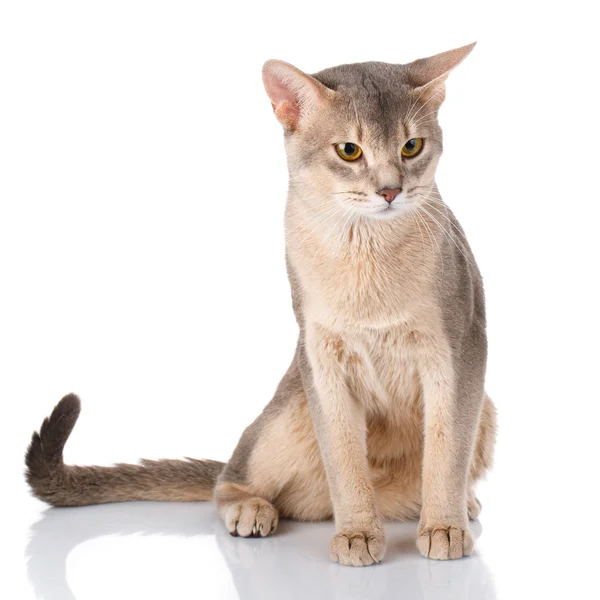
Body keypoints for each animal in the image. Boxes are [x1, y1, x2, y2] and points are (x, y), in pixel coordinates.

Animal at [25, 43, 496, 568]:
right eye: (349, 151)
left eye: (411, 147)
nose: (390, 190)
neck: (366, 253)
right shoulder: (321, 357)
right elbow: (344, 460)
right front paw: (356, 533)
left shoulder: (459, 353)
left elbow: (446, 454)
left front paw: (443, 527)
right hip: (288, 412)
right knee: (227, 479)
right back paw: (252, 510)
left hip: (486, 409)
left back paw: (454, 506)